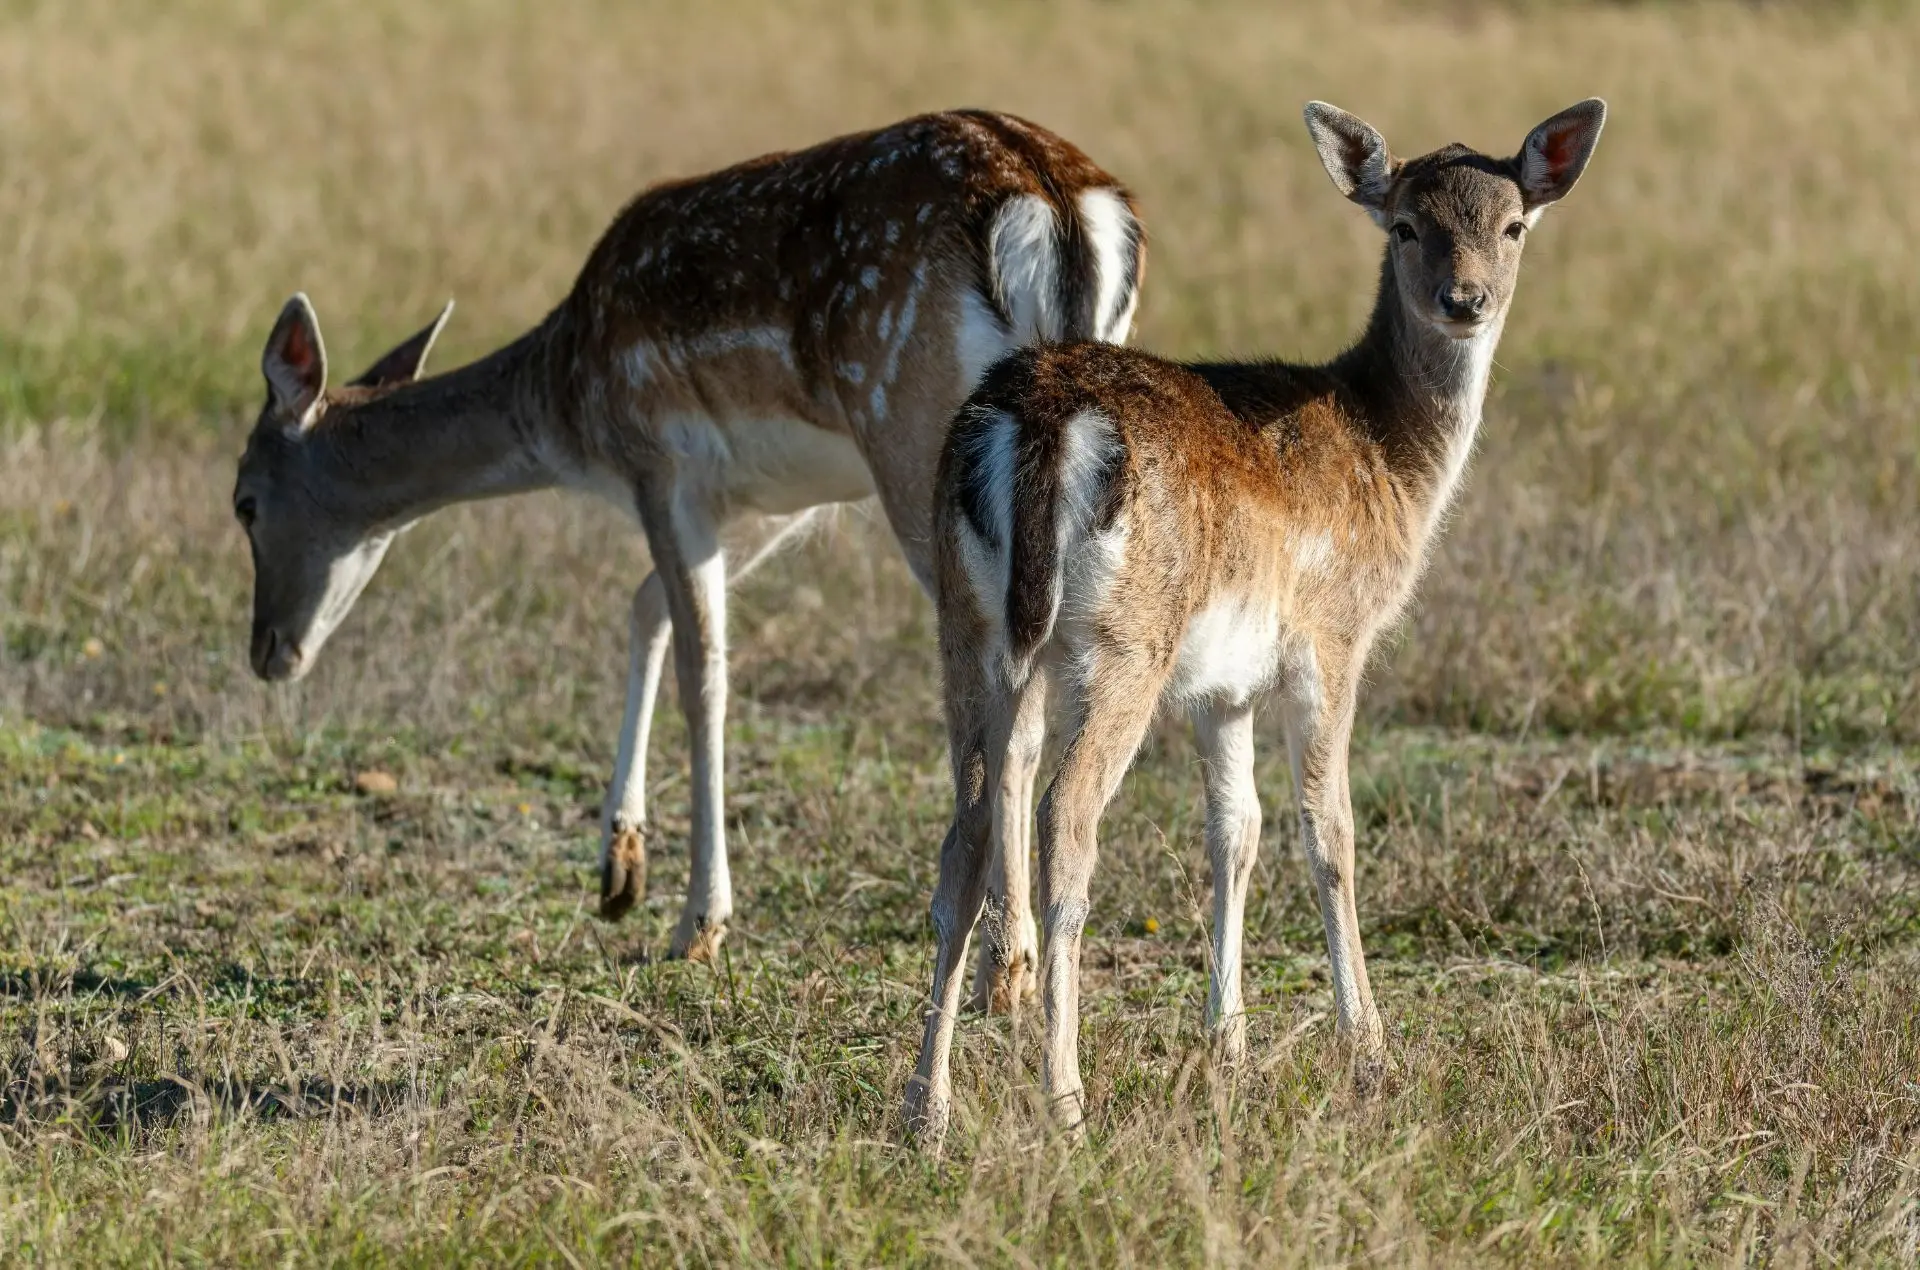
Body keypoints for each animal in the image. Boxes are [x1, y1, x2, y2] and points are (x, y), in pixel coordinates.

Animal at [232, 111, 1144, 977]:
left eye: (242, 502)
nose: (266, 652)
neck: (569, 405)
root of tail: (1058, 203)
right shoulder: (781, 497)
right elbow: (647, 610)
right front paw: (618, 871)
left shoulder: (659, 462)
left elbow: (705, 675)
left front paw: (698, 922)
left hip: (913, 437)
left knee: (1008, 693)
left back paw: (1006, 959)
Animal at [902, 99, 1607, 1142]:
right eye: (1405, 226)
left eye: (1513, 225)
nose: (1466, 298)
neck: (1392, 461)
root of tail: (1039, 423)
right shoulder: (1333, 637)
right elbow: (1329, 830)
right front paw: (1370, 1053)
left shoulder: (1220, 684)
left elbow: (1235, 830)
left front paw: (1226, 1044)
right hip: (1124, 640)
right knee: (1064, 817)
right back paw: (1066, 1101)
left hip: (968, 622)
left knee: (965, 829)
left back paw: (926, 1108)